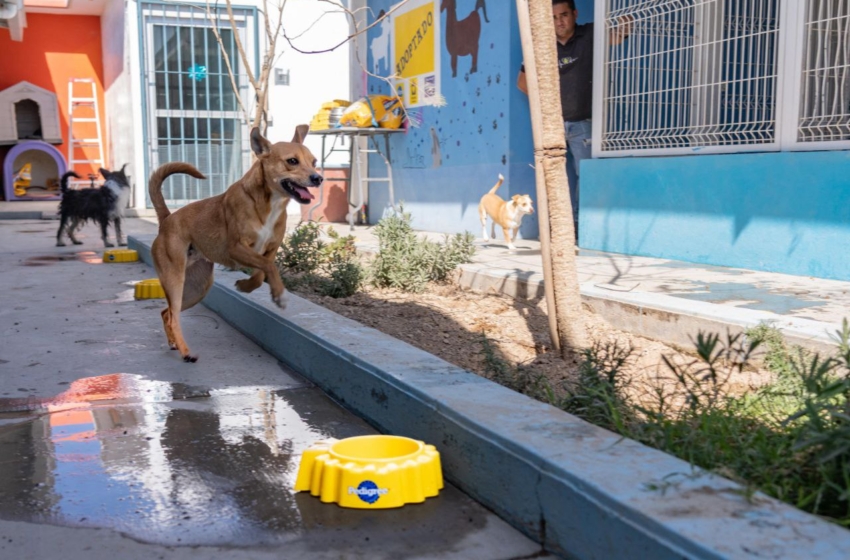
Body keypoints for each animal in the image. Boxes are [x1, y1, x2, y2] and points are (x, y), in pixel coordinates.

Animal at [149, 125, 322, 364]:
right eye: (292, 161)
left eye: (314, 161)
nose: (318, 178)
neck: (269, 203)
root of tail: (166, 219)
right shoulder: (237, 248)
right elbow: (269, 267)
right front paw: (279, 295)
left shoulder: (269, 250)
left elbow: (262, 272)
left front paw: (246, 286)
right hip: (175, 280)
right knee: (173, 316)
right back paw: (186, 352)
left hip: (197, 288)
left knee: (166, 313)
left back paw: (174, 343)